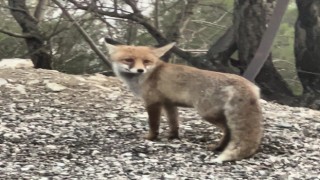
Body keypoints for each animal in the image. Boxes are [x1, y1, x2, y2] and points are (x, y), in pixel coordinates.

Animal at [105, 41, 262, 162]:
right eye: (129, 60)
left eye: (146, 61)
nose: (140, 70)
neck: (149, 75)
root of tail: (246, 84)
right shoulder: (169, 103)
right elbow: (173, 122)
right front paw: (173, 137)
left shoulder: (153, 102)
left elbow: (153, 124)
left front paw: (151, 138)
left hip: (207, 113)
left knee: (228, 130)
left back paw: (218, 148)